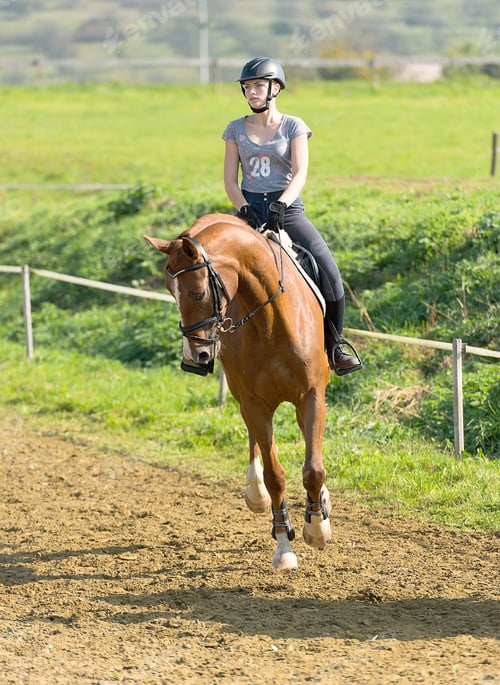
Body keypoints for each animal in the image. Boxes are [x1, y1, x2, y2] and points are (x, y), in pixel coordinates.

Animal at [144, 213, 332, 569]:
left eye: (198, 292)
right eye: (170, 292)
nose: (195, 357)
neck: (269, 319)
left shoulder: (311, 394)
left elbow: (313, 469)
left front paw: (316, 527)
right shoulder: (254, 402)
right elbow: (275, 475)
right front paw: (284, 545)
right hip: (245, 398)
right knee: (254, 440)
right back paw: (255, 492)